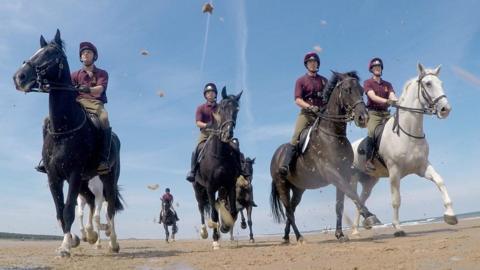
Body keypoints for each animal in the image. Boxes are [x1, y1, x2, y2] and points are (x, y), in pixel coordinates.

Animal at [13, 30, 124, 256]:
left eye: (52, 53)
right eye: (36, 51)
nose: (19, 77)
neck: (63, 131)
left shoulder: (73, 175)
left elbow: (69, 210)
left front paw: (66, 246)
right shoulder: (53, 177)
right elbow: (60, 210)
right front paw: (71, 240)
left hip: (108, 179)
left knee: (109, 209)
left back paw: (113, 242)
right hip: (86, 182)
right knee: (93, 207)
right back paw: (92, 235)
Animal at [192, 87, 242, 250]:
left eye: (236, 109)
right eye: (222, 109)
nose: (228, 133)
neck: (219, 155)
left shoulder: (230, 185)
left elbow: (232, 211)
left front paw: (225, 227)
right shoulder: (210, 187)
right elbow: (213, 213)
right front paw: (215, 240)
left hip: (221, 189)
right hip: (198, 188)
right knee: (201, 207)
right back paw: (204, 232)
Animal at [272, 70, 380, 244]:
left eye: (362, 90)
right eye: (347, 90)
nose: (363, 118)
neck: (333, 134)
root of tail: (276, 155)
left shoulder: (343, 173)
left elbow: (340, 205)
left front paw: (340, 234)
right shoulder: (331, 173)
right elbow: (351, 192)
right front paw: (369, 217)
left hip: (299, 188)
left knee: (292, 210)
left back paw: (287, 237)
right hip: (282, 185)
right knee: (288, 211)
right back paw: (299, 237)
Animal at [350, 63, 456, 236]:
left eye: (441, 83)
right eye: (428, 84)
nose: (445, 109)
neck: (409, 133)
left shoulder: (422, 167)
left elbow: (440, 181)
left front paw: (450, 215)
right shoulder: (394, 171)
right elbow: (396, 200)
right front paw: (398, 227)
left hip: (369, 182)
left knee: (361, 199)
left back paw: (358, 228)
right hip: (352, 179)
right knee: (354, 198)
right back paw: (357, 229)